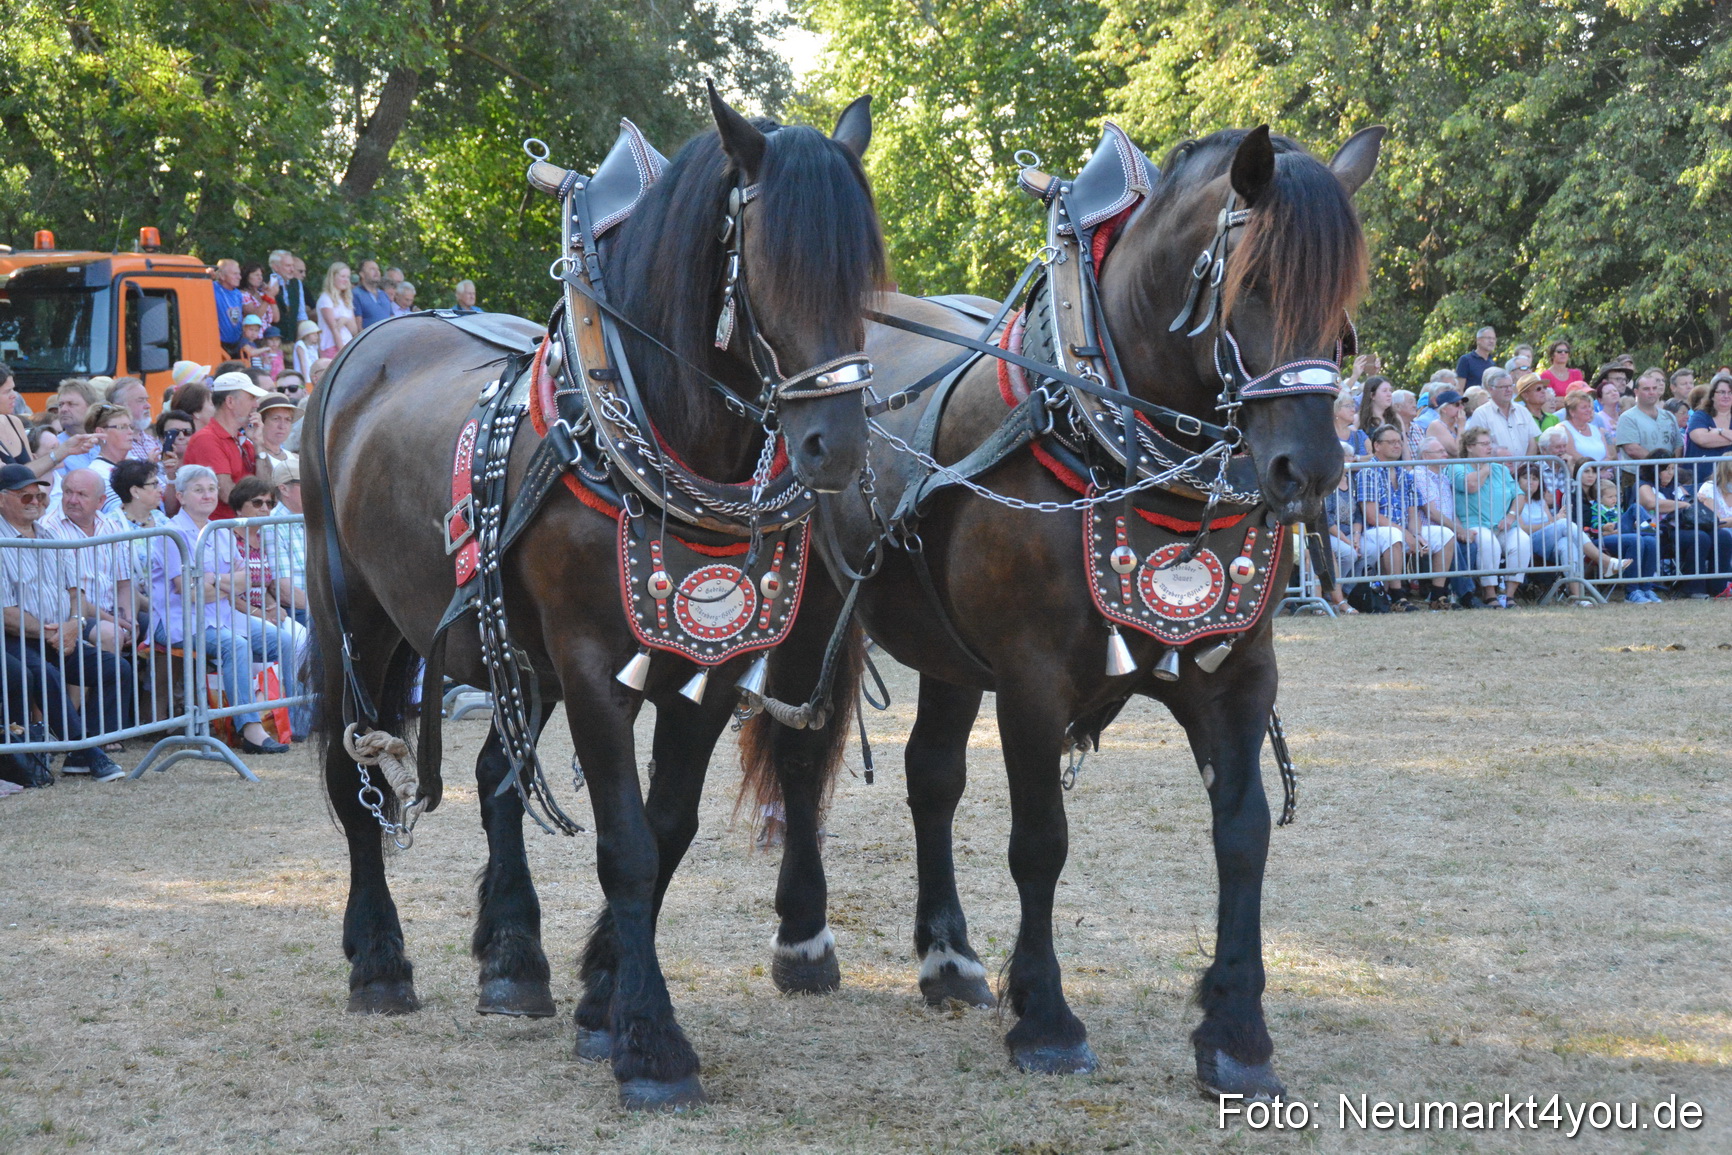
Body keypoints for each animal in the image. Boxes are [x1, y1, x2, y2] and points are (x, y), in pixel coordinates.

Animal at [304, 88, 886, 1110]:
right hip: (356, 625)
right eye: (771, 259)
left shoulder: (710, 669)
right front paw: (651, 1044)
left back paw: (513, 959)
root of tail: (364, 348)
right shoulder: (588, 668)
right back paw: (378, 961)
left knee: (495, 775)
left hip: (506, 650)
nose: (835, 446)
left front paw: (602, 998)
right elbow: (626, 845)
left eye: (863, 271)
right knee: (352, 772)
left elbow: (667, 830)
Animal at [739, 124, 1384, 1099]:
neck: (1106, 434)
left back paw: (949, 957)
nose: (1306, 471)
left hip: (947, 648)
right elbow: (1040, 839)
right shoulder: (1032, 679)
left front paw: (1236, 1031)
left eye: (1344, 303)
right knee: (803, 755)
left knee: (931, 776)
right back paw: (804, 941)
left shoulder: (1237, 672)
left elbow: (1242, 835)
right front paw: (1045, 1018)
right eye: (1255, 281)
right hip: (815, 608)